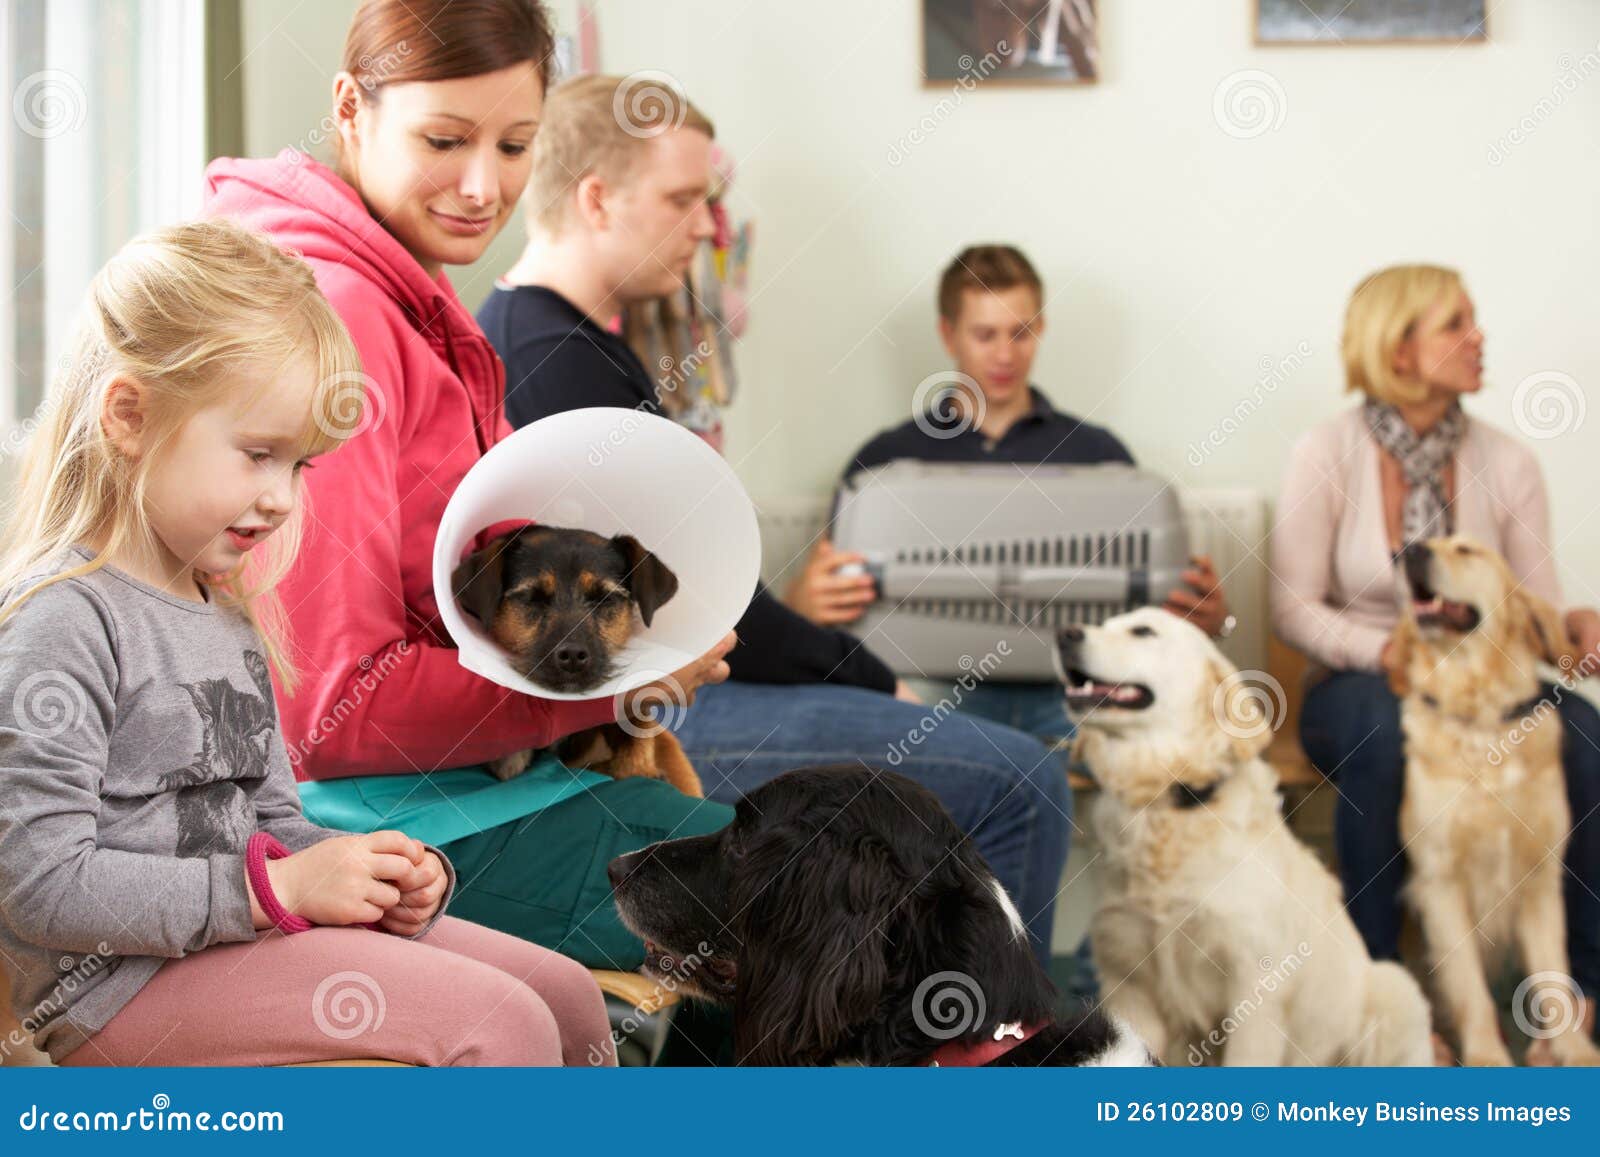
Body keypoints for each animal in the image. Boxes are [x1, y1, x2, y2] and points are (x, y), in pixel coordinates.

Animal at [1056, 604, 1433, 1068]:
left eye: (1142, 631)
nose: (1064, 633)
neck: (1171, 804)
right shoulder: (1130, 985)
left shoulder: (1253, 986)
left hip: (1395, 989)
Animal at [1388, 537, 1600, 1068]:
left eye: (1467, 549)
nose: (1408, 550)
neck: (1480, 720)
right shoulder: (1441, 882)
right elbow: (1469, 986)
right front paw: (1486, 1053)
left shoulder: (1541, 877)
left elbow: (1554, 974)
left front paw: (1574, 1049)